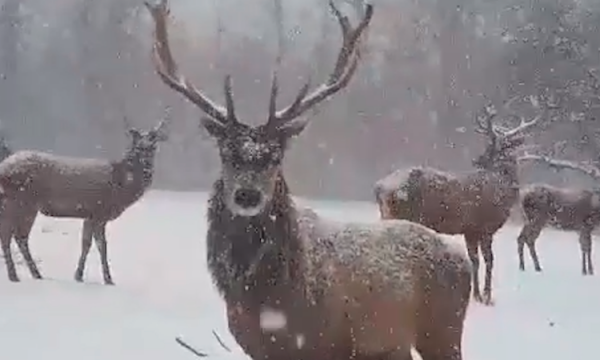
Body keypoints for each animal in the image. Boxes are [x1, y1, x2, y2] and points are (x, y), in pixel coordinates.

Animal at [0, 115, 169, 284]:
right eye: (137, 147)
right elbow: (100, 246)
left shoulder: (89, 215)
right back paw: (15, 275)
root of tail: (3, 168)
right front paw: (105, 279)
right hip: (20, 202)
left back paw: (34, 274)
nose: (147, 166)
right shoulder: (99, 212)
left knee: (17, 236)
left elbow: (86, 243)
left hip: (21, 205)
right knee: (11, 235)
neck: (121, 186)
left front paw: (80, 276)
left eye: (153, 147)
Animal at [146, 0, 474, 360]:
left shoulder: (330, 343)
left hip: (442, 330)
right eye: (226, 153)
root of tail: (462, 262)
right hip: (397, 344)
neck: (269, 299)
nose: (247, 195)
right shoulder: (255, 347)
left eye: (275, 156)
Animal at [372, 100, 548, 306]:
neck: (501, 190)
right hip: (403, 215)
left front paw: (477, 295)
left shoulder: (470, 230)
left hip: (387, 215)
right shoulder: (484, 228)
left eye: (493, 148)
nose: (476, 159)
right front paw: (487, 297)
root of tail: (380, 186)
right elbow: (489, 260)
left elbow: (475, 261)